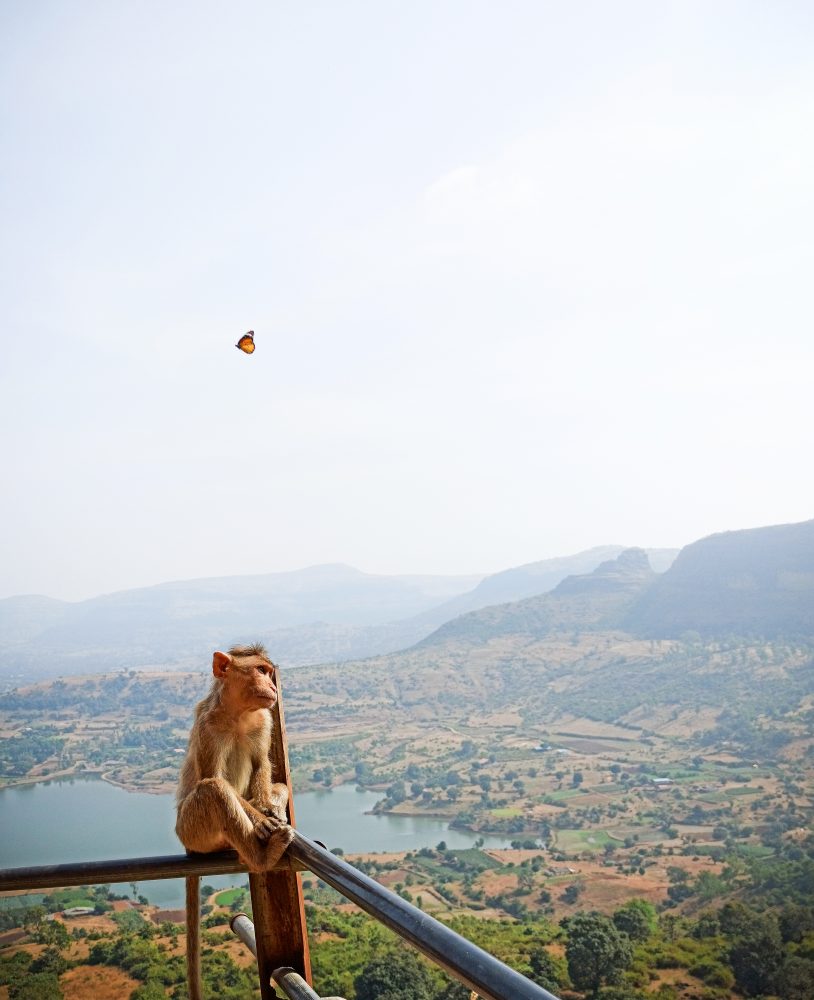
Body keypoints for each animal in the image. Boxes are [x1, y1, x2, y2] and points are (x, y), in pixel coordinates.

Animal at [176, 643, 293, 1000]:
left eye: (269, 672)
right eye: (259, 670)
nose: (271, 687)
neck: (239, 714)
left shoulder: (264, 720)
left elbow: (263, 766)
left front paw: (267, 809)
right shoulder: (208, 726)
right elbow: (214, 778)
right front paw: (262, 821)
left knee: (276, 785)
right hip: (192, 830)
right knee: (213, 791)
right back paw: (262, 856)